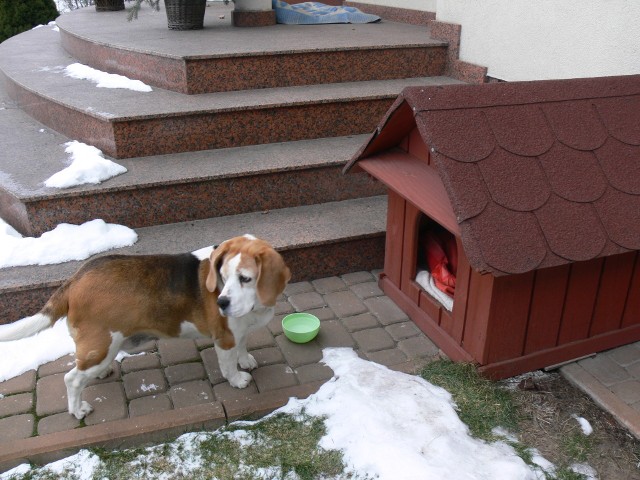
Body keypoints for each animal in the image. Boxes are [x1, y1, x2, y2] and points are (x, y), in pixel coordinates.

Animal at [0, 234, 290, 418]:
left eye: (245, 278)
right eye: (223, 276)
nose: (221, 302)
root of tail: (75, 278)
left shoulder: (239, 331)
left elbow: (243, 345)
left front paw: (246, 359)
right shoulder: (225, 337)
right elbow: (229, 364)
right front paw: (238, 379)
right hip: (100, 346)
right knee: (71, 379)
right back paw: (77, 409)